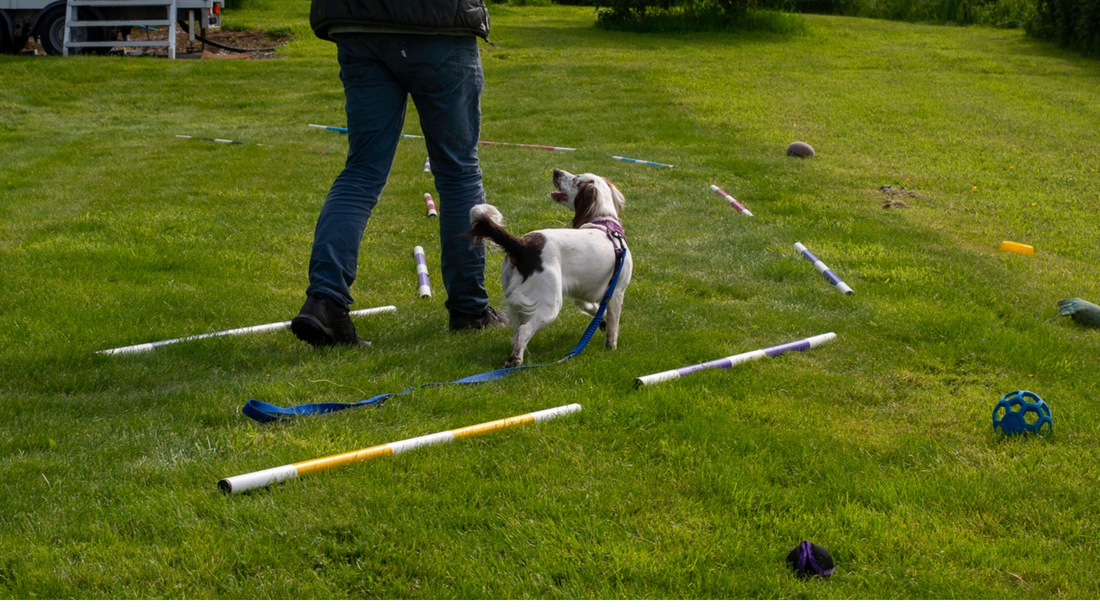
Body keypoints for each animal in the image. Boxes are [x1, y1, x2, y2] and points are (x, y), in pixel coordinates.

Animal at [466, 168, 638, 367]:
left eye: (575, 179)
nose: (556, 171)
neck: (604, 221)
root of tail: (521, 244)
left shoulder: (582, 292)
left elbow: (593, 309)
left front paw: (600, 320)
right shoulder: (617, 292)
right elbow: (613, 326)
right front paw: (611, 347)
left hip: (517, 298)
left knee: (516, 334)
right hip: (550, 305)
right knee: (524, 331)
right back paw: (515, 361)